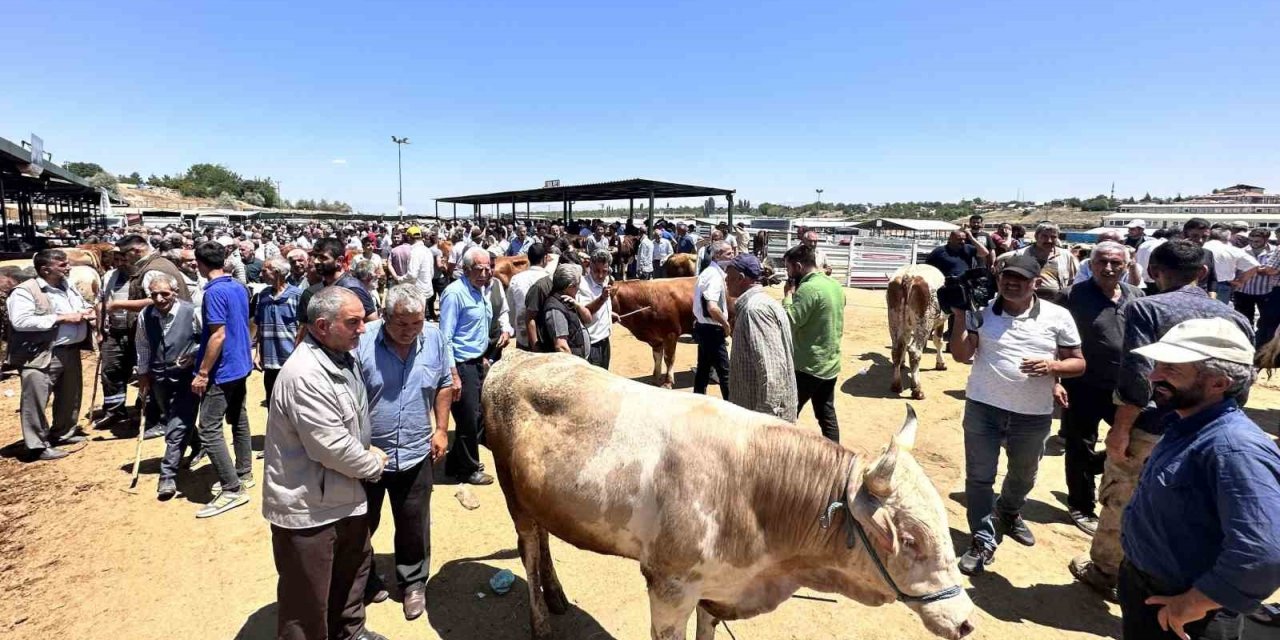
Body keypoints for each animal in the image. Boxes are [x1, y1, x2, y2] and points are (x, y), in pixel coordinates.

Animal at [483, 350, 972, 640]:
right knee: (529, 549)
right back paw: (541, 622)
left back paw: (557, 596)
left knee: (544, 539)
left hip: (541, 496)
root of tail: (515, 358)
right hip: (512, 494)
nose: (967, 620)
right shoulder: (669, 589)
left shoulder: (717, 590)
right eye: (909, 540)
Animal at [885, 264, 947, 399]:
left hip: (894, 318)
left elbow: (905, 343)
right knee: (914, 351)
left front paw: (903, 363)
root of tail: (909, 275)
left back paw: (896, 385)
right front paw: (941, 363)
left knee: (897, 349)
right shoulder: (941, 321)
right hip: (924, 322)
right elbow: (938, 341)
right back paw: (917, 389)